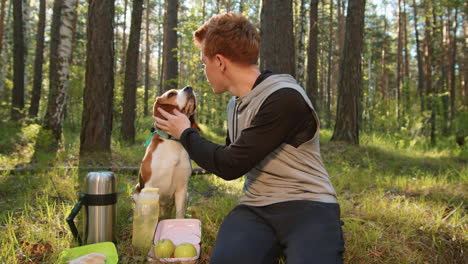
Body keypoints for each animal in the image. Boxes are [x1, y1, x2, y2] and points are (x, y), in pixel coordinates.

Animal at [135, 86, 199, 219]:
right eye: (171, 94)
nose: (189, 87)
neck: (172, 141)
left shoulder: (182, 189)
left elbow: (179, 216)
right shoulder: (149, 189)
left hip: (186, 195)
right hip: (137, 191)